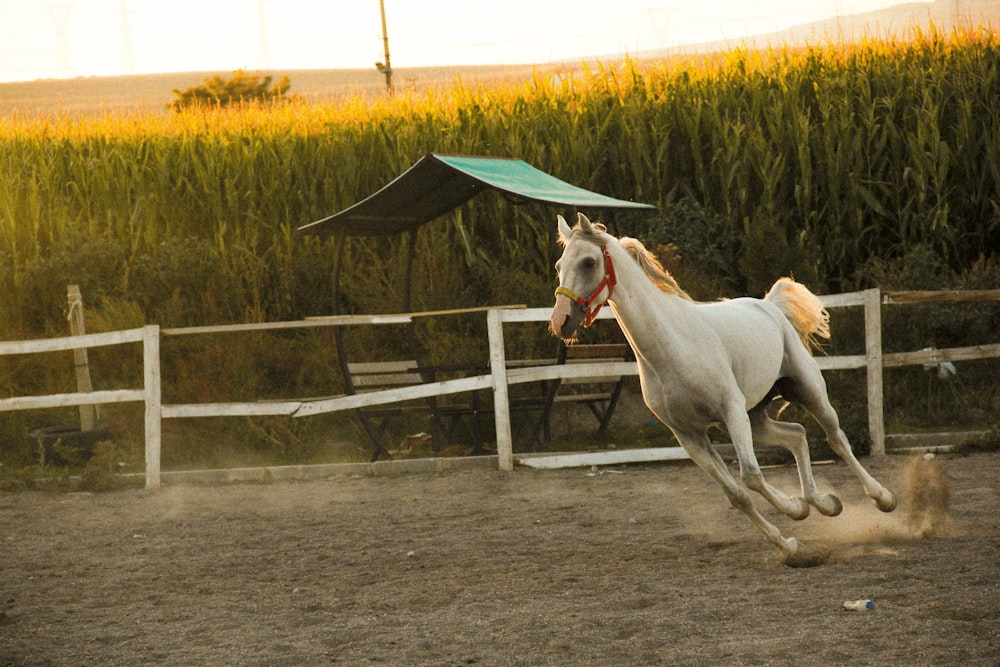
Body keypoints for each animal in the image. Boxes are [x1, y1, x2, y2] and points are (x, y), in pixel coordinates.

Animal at [552, 213, 896, 564]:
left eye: (589, 262)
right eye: (559, 265)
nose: (560, 321)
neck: (671, 347)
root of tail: (767, 305)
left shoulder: (730, 412)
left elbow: (751, 475)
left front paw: (794, 515)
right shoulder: (689, 435)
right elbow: (736, 494)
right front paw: (791, 538)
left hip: (806, 390)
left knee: (836, 439)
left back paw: (883, 498)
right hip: (756, 417)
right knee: (797, 435)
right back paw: (823, 503)